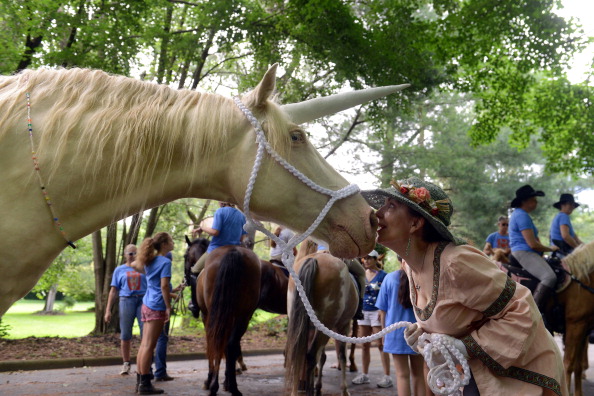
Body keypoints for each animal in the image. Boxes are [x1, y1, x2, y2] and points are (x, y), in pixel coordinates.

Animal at [195, 246, 260, 394]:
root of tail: (233, 250)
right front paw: (227, 382)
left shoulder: (206, 316)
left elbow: (211, 345)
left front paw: (209, 381)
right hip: (243, 316)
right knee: (230, 345)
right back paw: (233, 388)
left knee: (217, 342)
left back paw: (214, 386)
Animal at [284, 241, 354, 396]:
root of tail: (314, 260)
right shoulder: (343, 326)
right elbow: (341, 355)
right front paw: (344, 389)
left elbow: (321, 357)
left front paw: (318, 386)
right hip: (326, 325)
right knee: (311, 356)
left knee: (300, 354)